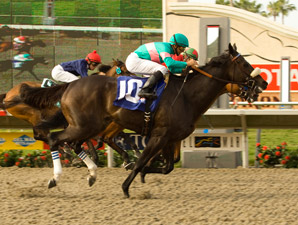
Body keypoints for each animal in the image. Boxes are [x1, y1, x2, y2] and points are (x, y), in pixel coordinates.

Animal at [20, 43, 268, 197]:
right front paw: (127, 186)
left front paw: (144, 173)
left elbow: (168, 166)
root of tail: (70, 85)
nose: (264, 83)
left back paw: (91, 174)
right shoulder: (159, 135)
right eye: (244, 64)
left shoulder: (171, 137)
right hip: (85, 125)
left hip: (89, 125)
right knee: (56, 140)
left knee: (71, 142)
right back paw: (56, 178)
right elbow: (142, 160)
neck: (187, 95)